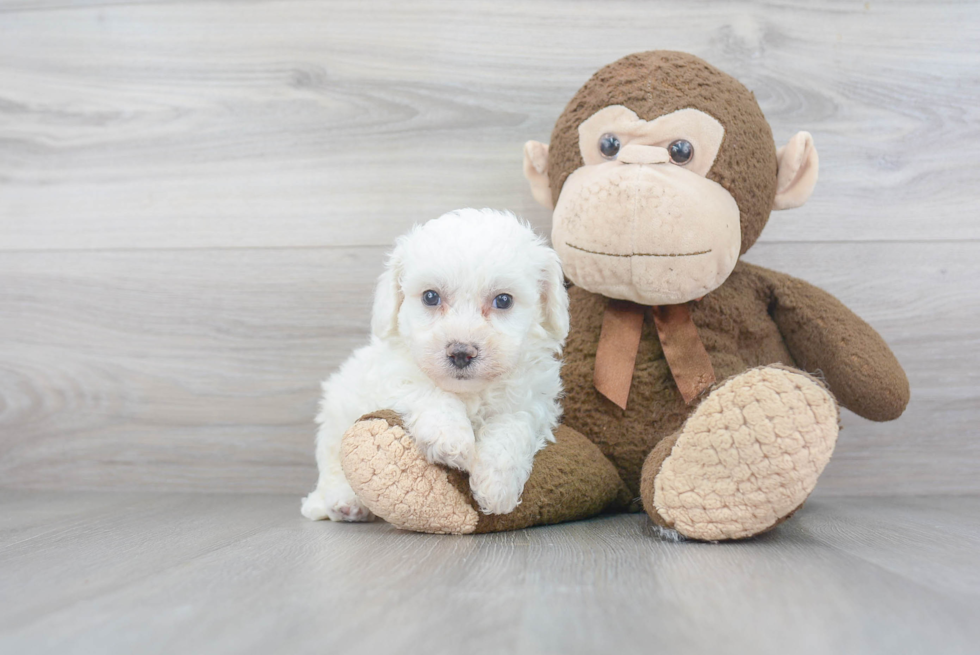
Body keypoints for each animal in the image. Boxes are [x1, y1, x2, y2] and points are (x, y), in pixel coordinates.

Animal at [302, 209, 572, 524]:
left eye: (503, 300)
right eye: (431, 297)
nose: (461, 352)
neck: (469, 392)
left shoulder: (532, 401)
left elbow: (512, 428)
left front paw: (497, 486)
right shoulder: (395, 375)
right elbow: (428, 392)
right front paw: (450, 439)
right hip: (336, 415)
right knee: (332, 465)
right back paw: (342, 502)